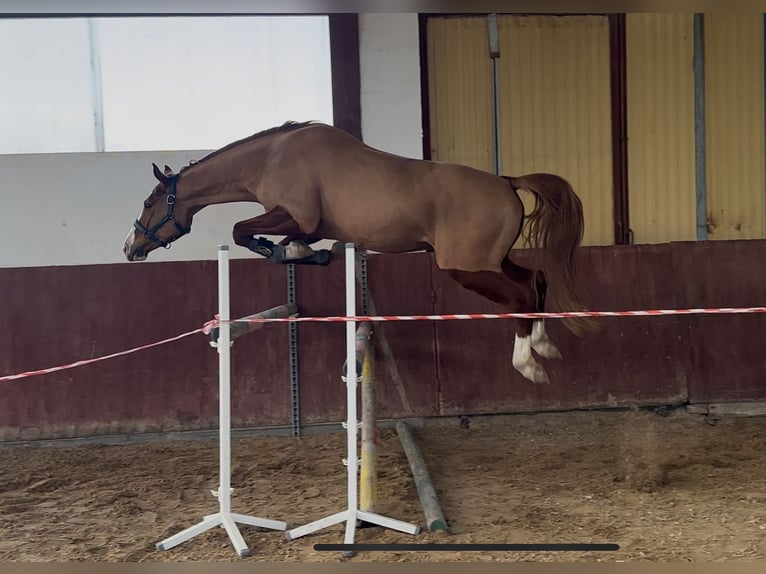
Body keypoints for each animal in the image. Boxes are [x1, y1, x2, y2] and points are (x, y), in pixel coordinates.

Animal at [123, 120, 596, 384]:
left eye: (148, 203)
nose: (130, 248)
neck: (271, 157)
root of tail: (506, 182)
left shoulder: (295, 216)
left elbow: (244, 232)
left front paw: (283, 253)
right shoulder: (308, 224)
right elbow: (302, 244)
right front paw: (304, 254)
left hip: (464, 267)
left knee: (521, 294)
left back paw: (528, 363)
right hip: (490, 262)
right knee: (535, 280)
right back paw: (544, 344)